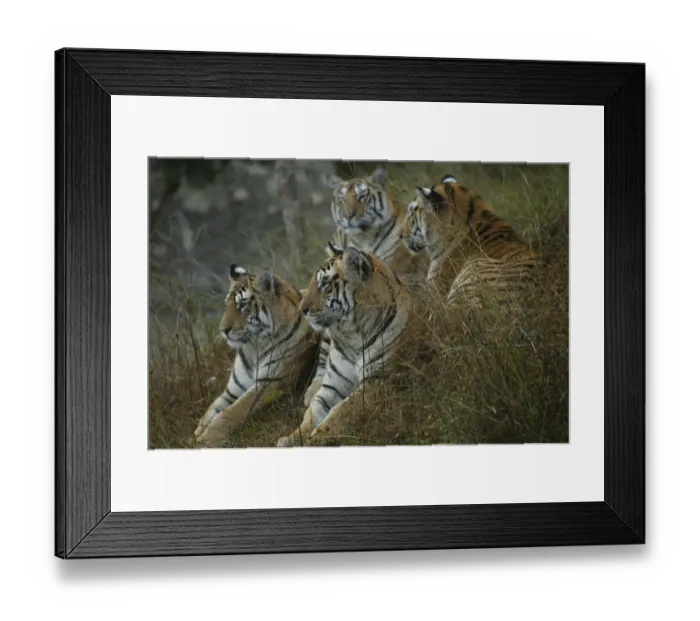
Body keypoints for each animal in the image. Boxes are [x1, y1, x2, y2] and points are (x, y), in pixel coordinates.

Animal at [194, 265, 318, 448]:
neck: (253, 347)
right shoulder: (233, 389)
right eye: (226, 305)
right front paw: (196, 434)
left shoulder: (269, 383)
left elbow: (232, 411)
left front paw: (206, 439)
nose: (223, 330)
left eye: (242, 305)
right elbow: (211, 410)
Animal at [276, 243, 412, 447]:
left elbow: (341, 411)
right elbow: (312, 414)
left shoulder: (377, 379)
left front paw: (315, 439)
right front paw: (291, 438)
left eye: (324, 284)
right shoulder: (332, 386)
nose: (302, 310)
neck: (352, 334)